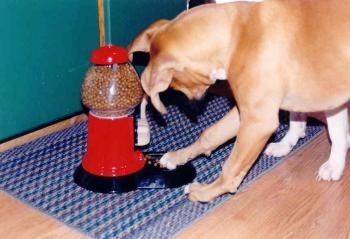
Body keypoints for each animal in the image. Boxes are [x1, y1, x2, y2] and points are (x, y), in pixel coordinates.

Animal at [128, 0, 350, 202]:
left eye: (174, 84)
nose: (194, 107)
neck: (237, 34)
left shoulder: (257, 123)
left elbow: (231, 168)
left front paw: (204, 192)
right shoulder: (248, 113)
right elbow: (210, 134)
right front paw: (177, 156)